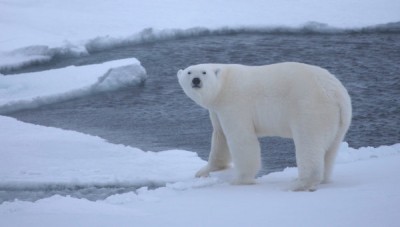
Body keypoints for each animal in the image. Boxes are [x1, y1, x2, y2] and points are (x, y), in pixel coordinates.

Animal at [177, 61, 350, 190]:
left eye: (204, 72)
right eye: (189, 72)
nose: (196, 80)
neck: (223, 85)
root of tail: (336, 93)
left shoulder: (235, 103)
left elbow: (240, 138)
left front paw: (240, 180)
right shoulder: (217, 110)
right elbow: (220, 136)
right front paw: (204, 171)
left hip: (310, 107)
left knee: (309, 143)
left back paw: (299, 183)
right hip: (339, 119)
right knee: (330, 149)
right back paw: (322, 179)